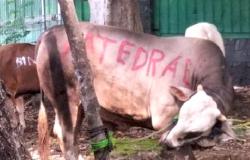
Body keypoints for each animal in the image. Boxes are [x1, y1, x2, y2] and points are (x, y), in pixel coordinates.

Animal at [35, 22, 234, 159]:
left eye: (195, 132)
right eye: (180, 116)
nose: (168, 142)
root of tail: (51, 31)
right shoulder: (164, 120)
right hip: (66, 99)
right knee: (66, 135)